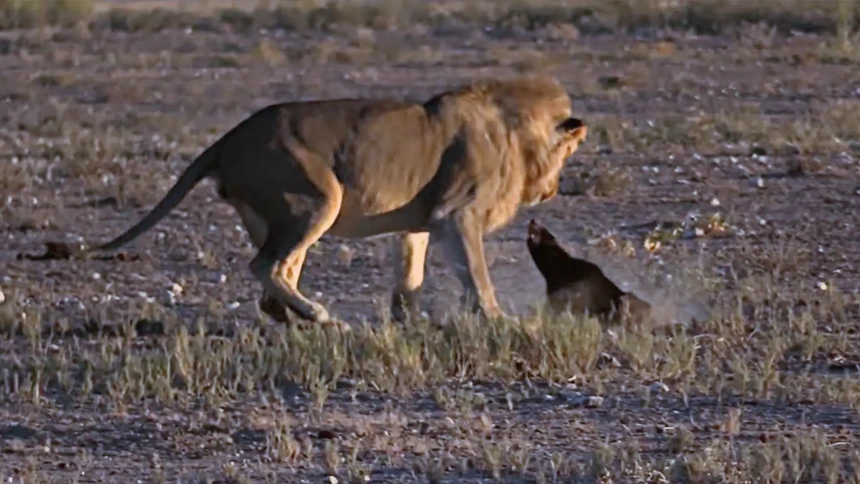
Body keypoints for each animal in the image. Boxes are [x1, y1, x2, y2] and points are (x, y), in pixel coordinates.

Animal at [84, 75, 588, 328]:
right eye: (569, 154)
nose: (553, 191)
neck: (515, 131)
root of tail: (227, 140)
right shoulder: (457, 213)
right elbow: (478, 276)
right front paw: (499, 320)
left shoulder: (421, 221)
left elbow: (410, 275)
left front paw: (407, 321)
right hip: (318, 196)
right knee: (263, 266)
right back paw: (322, 318)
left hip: (288, 212)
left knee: (277, 277)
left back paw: (299, 319)